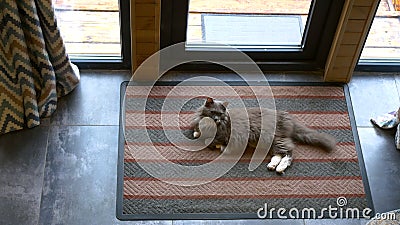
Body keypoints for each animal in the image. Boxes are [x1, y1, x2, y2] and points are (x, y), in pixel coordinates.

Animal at [192, 97, 336, 173]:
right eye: (213, 112)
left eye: (220, 114)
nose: (217, 119)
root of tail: (288, 117)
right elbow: (199, 132)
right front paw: (197, 132)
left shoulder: (222, 135)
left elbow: (208, 140)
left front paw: (219, 146)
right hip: (273, 141)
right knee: (278, 154)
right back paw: (272, 166)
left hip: (276, 139)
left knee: (289, 153)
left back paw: (279, 168)